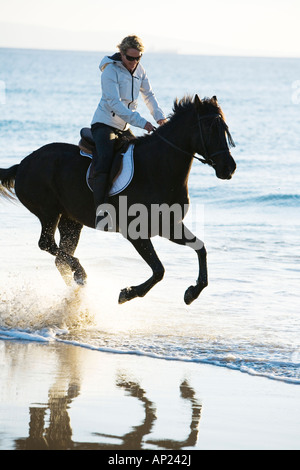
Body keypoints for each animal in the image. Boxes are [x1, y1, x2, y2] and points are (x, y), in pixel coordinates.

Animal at [0, 95, 236, 304]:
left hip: (71, 221)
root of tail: (23, 164)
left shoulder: (169, 226)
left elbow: (200, 249)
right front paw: (128, 293)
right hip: (49, 213)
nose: (229, 168)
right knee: (47, 244)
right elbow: (159, 270)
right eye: (209, 129)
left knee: (60, 257)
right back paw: (81, 274)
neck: (159, 168)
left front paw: (192, 293)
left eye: (224, 128)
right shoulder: (136, 232)